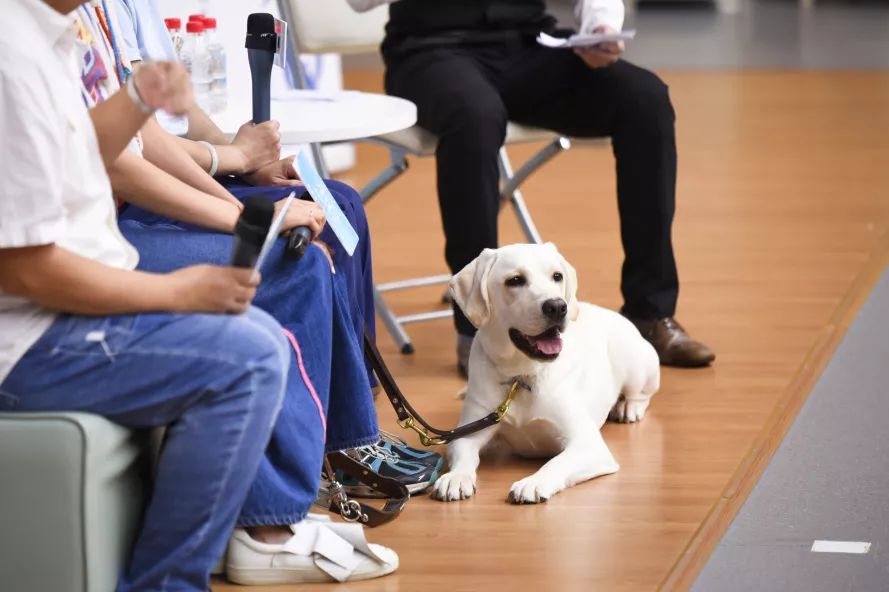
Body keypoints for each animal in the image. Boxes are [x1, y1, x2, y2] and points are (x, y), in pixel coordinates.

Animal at [430, 244, 660, 504]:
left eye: (557, 276)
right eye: (515, 280)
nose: (558, 306)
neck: (521, 376)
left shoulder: (588, 444)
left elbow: (557, 462)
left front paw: (533, 482)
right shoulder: (466, 432)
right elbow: (465, 456)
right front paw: (456, 477)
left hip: (634, 362)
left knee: (641, 393)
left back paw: (628, 407)